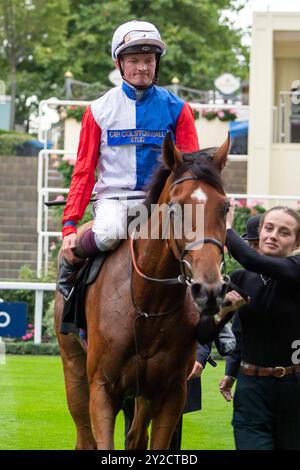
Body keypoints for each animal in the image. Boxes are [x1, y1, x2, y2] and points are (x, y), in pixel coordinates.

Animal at [54, 132, 230, 448]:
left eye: (225, 207)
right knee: (85, 435)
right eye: (175, 208)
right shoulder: (102, 388)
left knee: (135, 436)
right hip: (73, 366)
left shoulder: (170, 393)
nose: (209, 289)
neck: (148, 305)